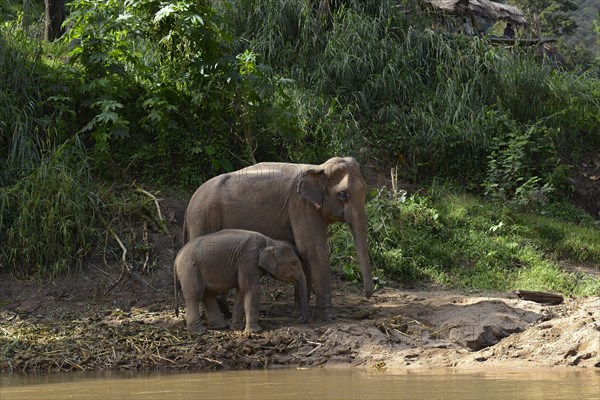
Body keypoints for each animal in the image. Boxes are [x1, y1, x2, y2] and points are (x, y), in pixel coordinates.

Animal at [175, 230, 310, 332]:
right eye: (294, 263)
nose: (300, 319)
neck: (270, 241)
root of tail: (178, 254)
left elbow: (242, 291)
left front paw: (237, 327)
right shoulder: (249, 259)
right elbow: (252, 290)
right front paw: (255, 331)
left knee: (208, 295)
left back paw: (221, 326)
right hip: (190, 270)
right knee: (196, 295)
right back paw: (199, 331)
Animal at [183, 156, 372, 318]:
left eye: (365, 191)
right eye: (343, 194)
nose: (366, 295)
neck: (318, 168)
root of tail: (189, 204)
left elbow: (303, 253)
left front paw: (299, 314)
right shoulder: (301, 206)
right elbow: (313, 250)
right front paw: (328, 316)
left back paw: (225, 312)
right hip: (203, 219)